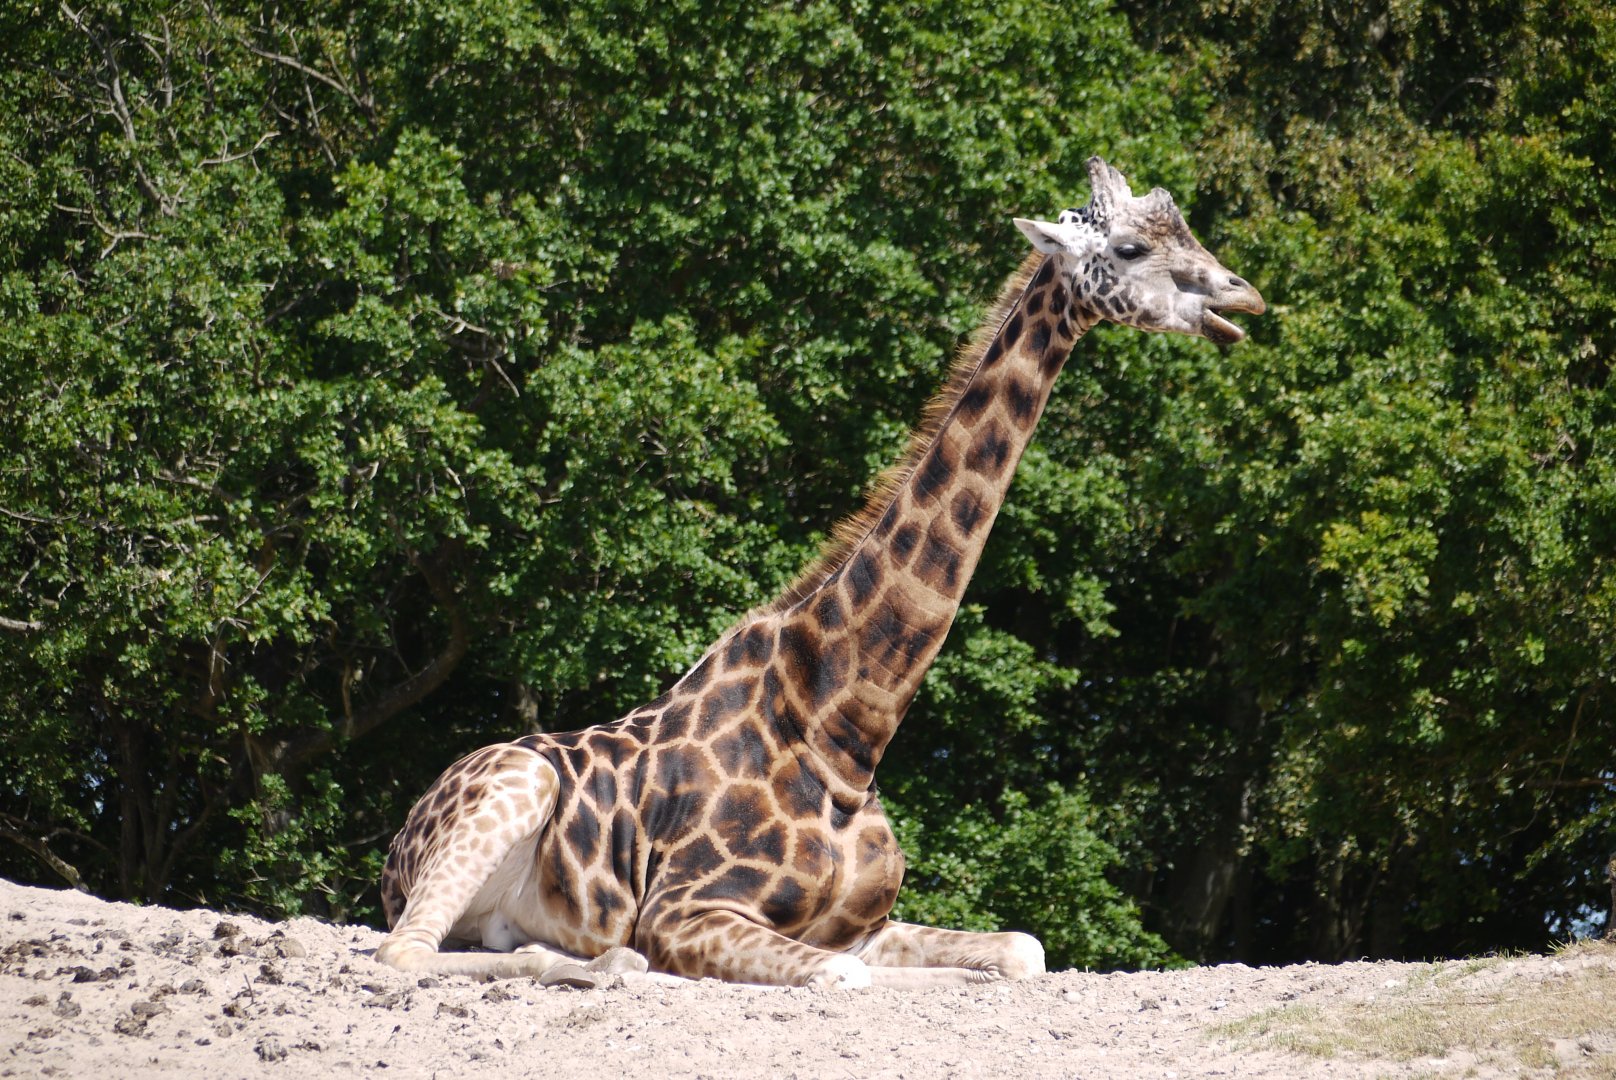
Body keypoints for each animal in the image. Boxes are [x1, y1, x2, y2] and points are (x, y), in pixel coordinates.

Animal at [376, 156, 1265, 989]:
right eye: (1130, 247)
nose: (1246, 297)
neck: (844, 731)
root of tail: (397, 841)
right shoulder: (685, 909)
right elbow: (845, 976)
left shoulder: (861, 923)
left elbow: (1021, 949)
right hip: (515, 784)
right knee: (403, 952)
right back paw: (603, 964)